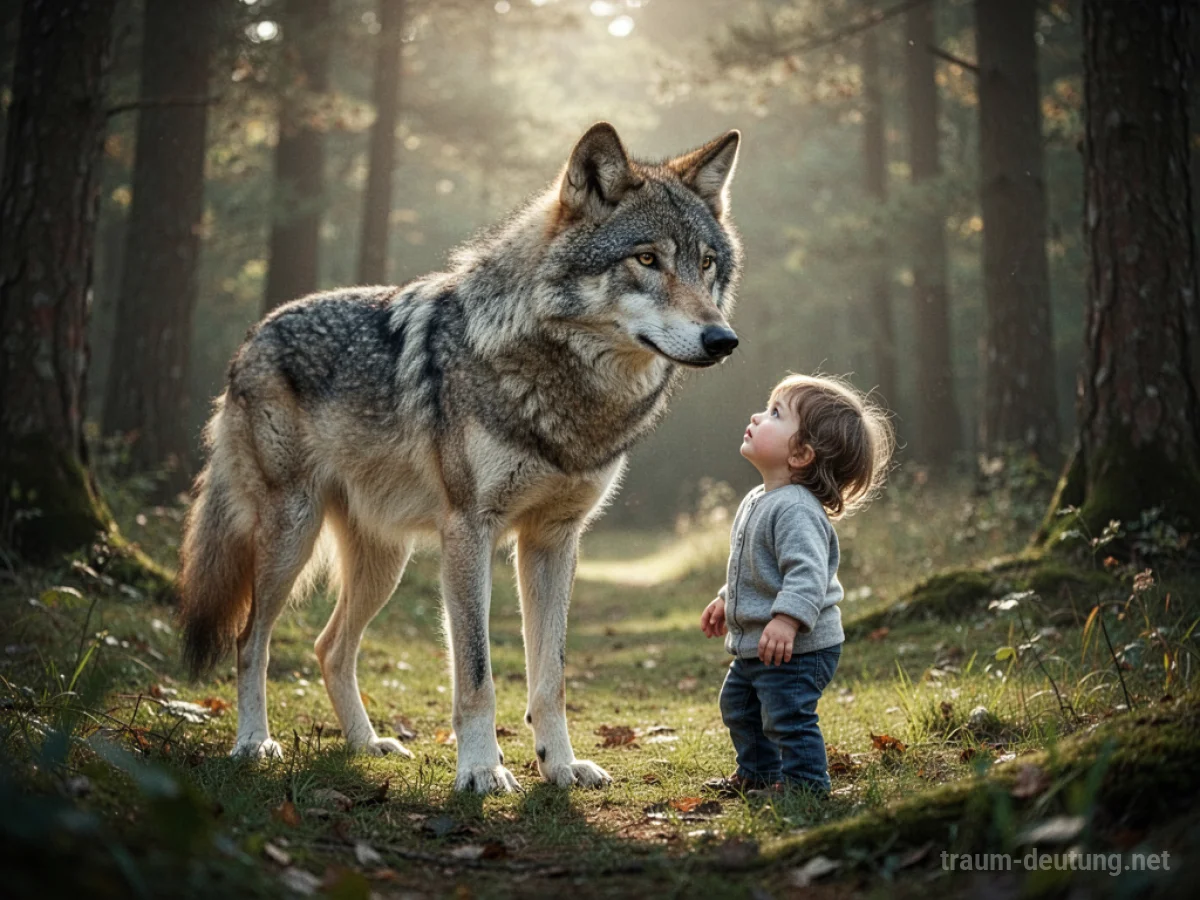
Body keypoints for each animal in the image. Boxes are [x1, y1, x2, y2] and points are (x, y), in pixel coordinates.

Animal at [178, 122, 742, 793]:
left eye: (705, 264)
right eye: (647, 259)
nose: (723, 339)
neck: (565, 390)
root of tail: (253, 337)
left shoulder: (554, 539)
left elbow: (550, 677)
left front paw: (561, 765)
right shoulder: (470, 531)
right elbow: (476, 674)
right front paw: (480, 770)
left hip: (385, 562)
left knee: (329, 647)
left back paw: (367, 745)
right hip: (291, 537)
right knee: (249, 641)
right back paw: (253, 742)